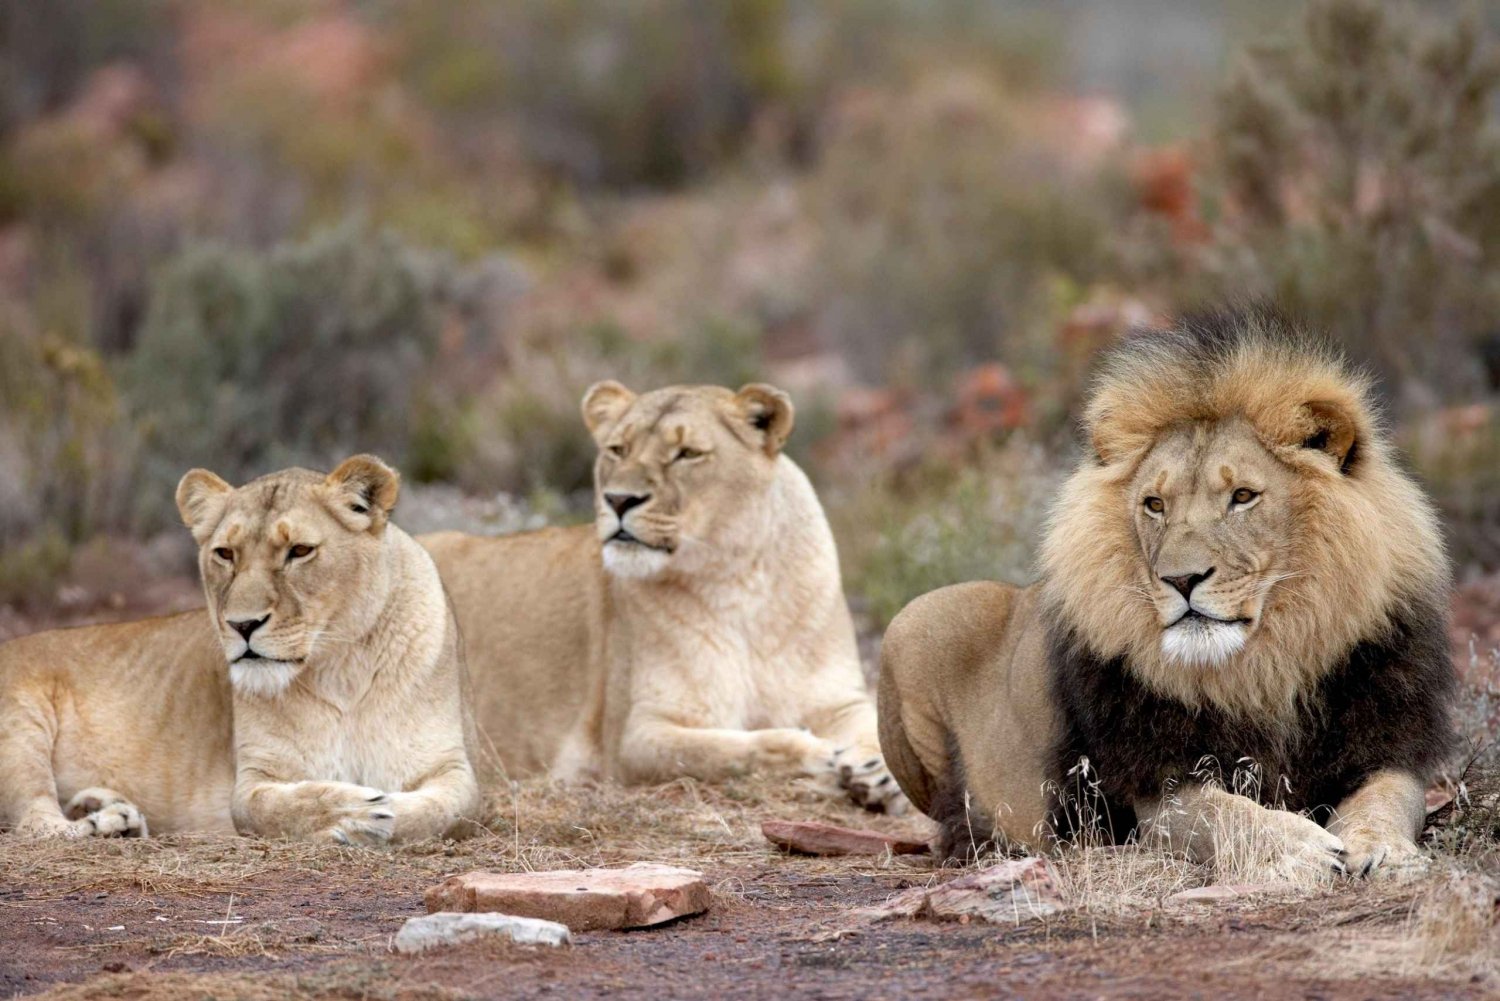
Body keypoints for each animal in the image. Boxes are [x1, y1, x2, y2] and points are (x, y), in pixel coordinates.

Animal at [0, 456, 477, 846]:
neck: (341, 667)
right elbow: (270, 808)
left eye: (299, 550)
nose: (242, 625)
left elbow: (445, 811)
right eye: (225, 553)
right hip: (19, 729)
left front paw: (384, 811)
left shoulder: (451, 767)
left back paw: (110, 812)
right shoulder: (252, 779)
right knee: (36, 824)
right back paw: (105, 823)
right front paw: (351, 812)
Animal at [423, 379, 900, 810]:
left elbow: (875, 726)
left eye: (687, 454)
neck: (739, 581)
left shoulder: (837, 699)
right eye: (617, 449)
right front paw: (821, 755)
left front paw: (877, 772)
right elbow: (730, 750)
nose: (619, 500)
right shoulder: (636, 735)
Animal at [876, 310, 1452, 876]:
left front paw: (1383, 849)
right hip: (913, 620)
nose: (1182, 579)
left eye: (1243, 496)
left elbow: (1390, 799)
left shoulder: (1388, 744)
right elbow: (1229, 814)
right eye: (1154, 504)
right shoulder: (1158, 790)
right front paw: (1300, 847)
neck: (1265, 667)